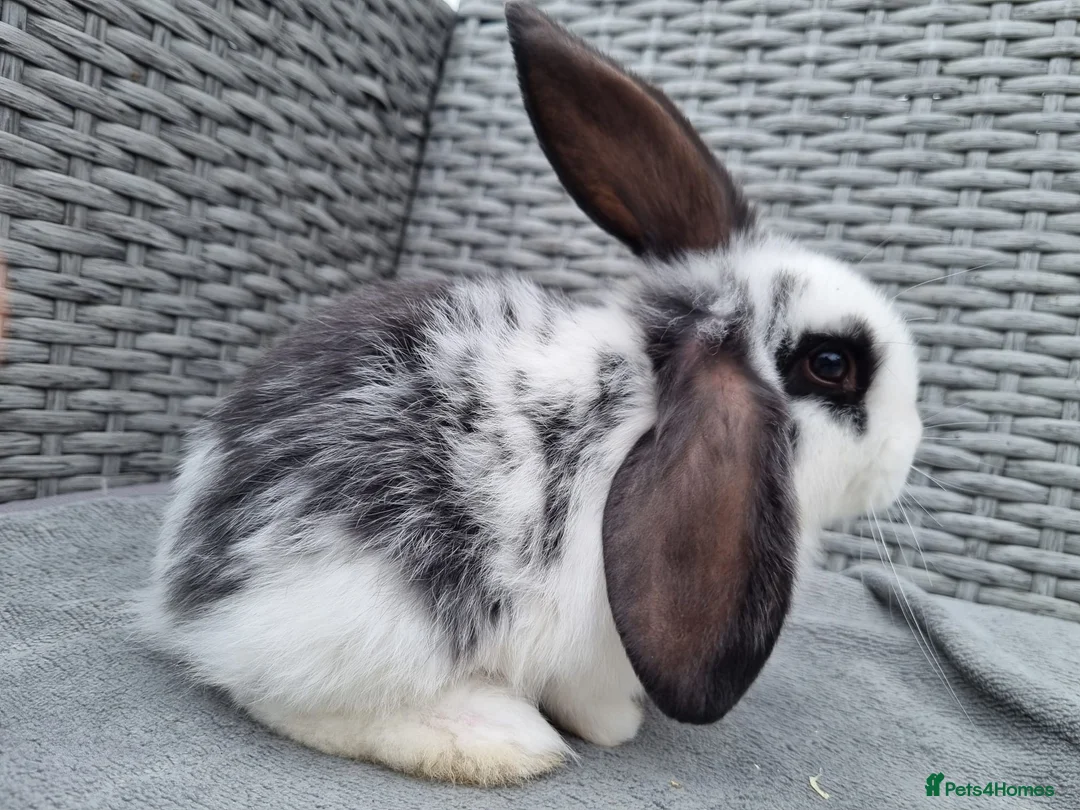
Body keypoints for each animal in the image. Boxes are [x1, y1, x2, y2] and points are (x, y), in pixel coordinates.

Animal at [140, 1, 923, 787]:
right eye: (831, 363)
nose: (909, 450)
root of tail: (191, 601)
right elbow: (593, 695)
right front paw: (618, 726)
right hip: (375, 619)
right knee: (293, 700)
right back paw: (498, 739)